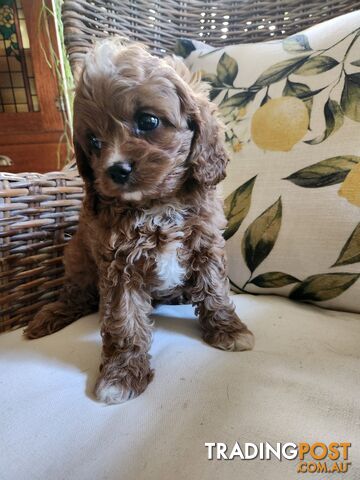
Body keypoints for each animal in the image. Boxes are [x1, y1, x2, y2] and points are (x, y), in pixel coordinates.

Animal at [23, 39, 255, 404]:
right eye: (94, 142)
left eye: (148, 121)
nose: (116, 170)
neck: (157, 204)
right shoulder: (119, 266)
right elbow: (126, 321)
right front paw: (122, 374)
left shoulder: (206, 245)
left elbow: (214, 291)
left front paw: (228, 330)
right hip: (77, 259)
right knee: (76, 294)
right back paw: (49, 315)